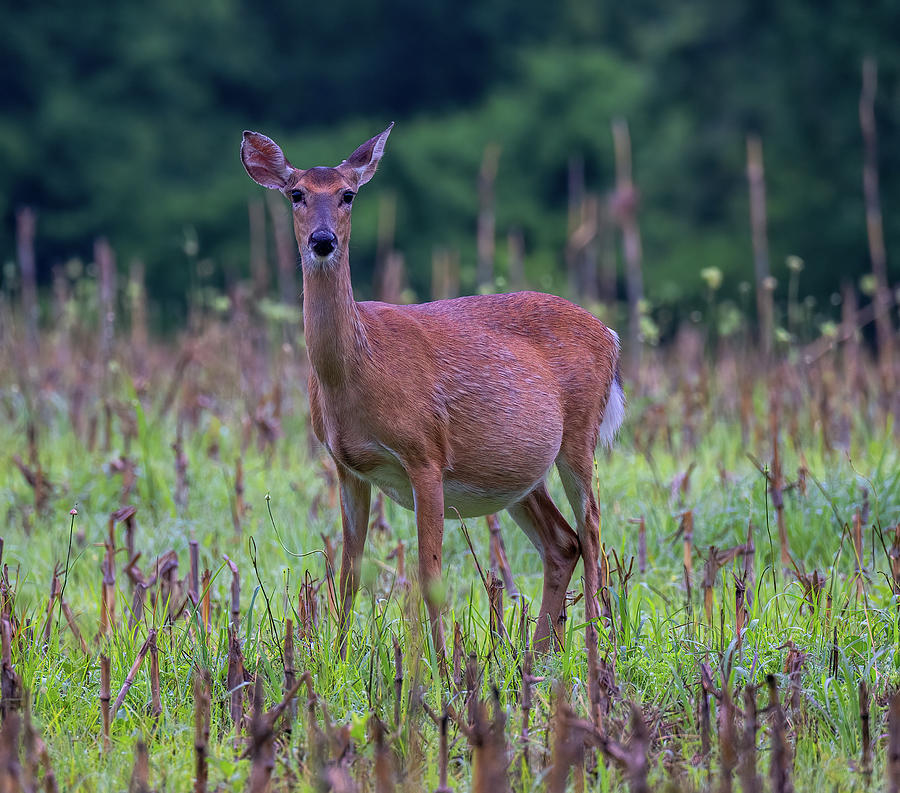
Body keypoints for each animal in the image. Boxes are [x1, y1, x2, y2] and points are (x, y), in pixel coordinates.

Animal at [244, 122, 624, 680]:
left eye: (348, 194)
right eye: (296, 193)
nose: (322, 241)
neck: (358, 371)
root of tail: (611, 336)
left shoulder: (425, 452)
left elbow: (430, 575)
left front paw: (442, 672)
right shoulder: (348, 466)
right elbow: (349, 572)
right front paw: (337, 664)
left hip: (579, 434)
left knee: (593, 529)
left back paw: (600, 649)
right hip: (517, 469)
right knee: (563, 542)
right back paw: (535, 660)